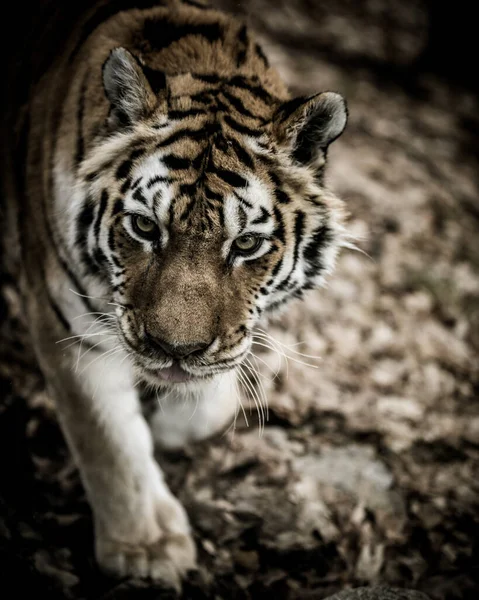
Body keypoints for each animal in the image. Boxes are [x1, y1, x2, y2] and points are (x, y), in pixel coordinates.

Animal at [2, 0, 348, 592]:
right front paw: (147, 549)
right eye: (144, 227)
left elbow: (216, 396)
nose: (175, 351)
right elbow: (109, 443)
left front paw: (168, 427)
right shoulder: (68, 323)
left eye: (247, 243)